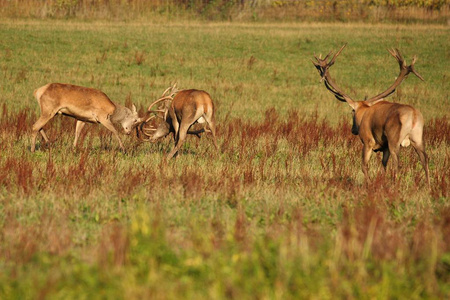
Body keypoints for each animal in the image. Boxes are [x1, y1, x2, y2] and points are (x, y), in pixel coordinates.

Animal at [312, 44, 430, 186]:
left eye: (352, 111)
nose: (353, 130)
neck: (364, 112)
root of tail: (413, 116)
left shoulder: (368, 141)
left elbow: (364, 165)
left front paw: (370, 184)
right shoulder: (384, 146)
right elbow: (383, 165)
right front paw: (382, 181)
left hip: (394, 139)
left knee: (398, 163)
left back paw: (396, 184)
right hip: (418, 137)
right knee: (425, 159)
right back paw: (429, 185)